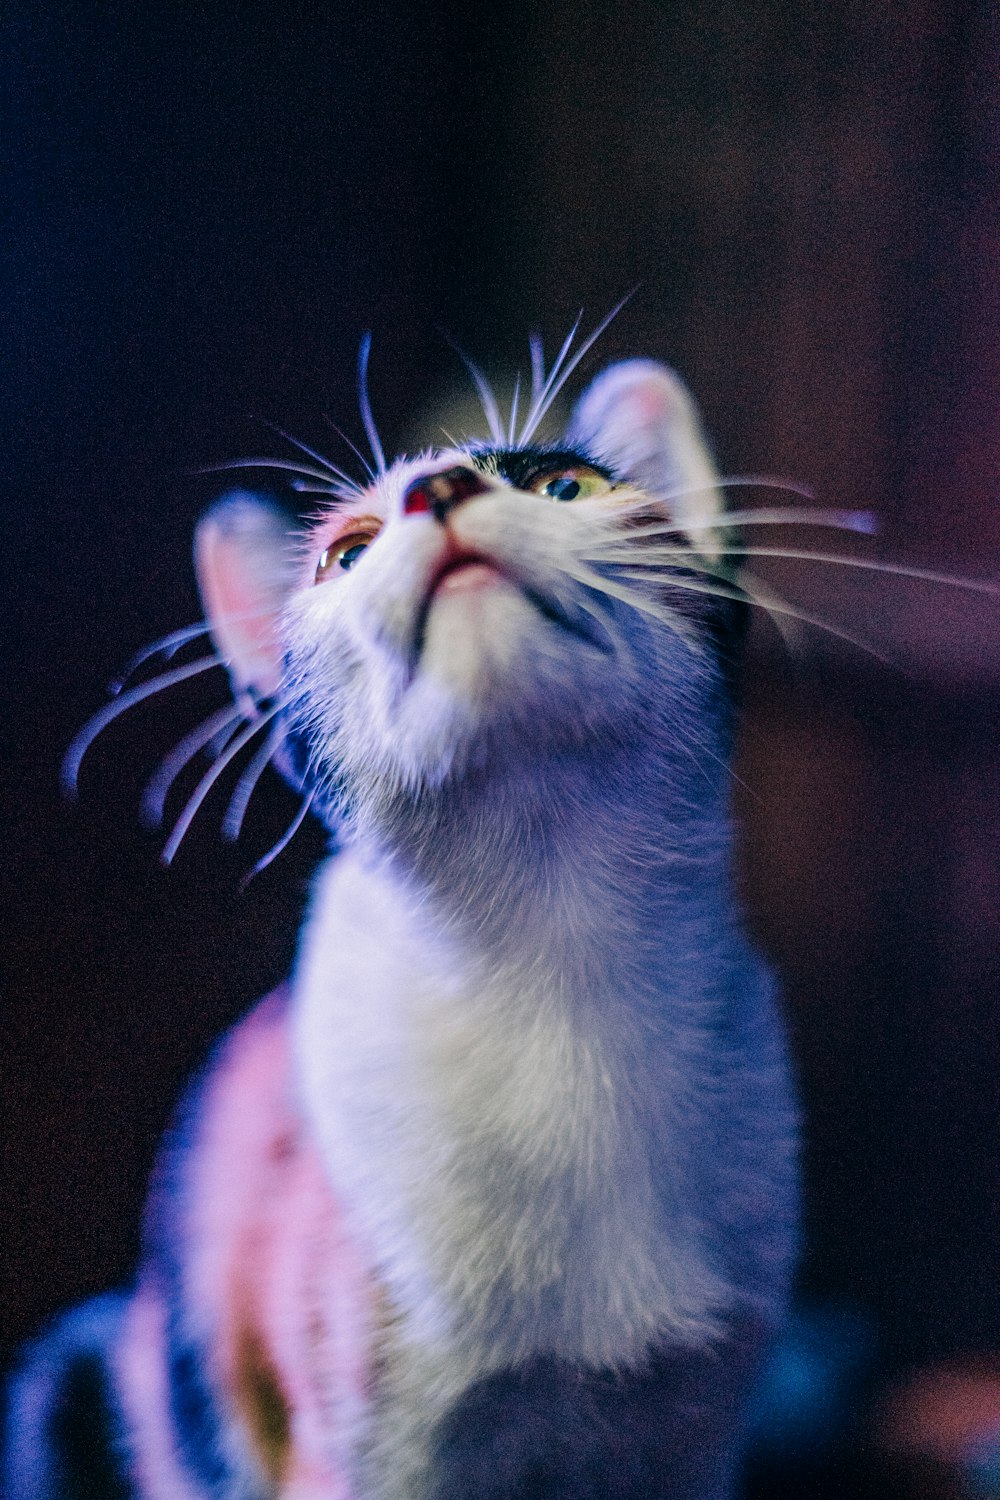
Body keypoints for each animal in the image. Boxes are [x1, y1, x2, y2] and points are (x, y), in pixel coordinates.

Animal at [5, 340, 797, 1500]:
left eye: (568, 485)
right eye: (348, 551)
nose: (442, 487)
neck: (560, 973)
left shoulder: (694, 1437)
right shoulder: (361, 1452)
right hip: (74, 1378)